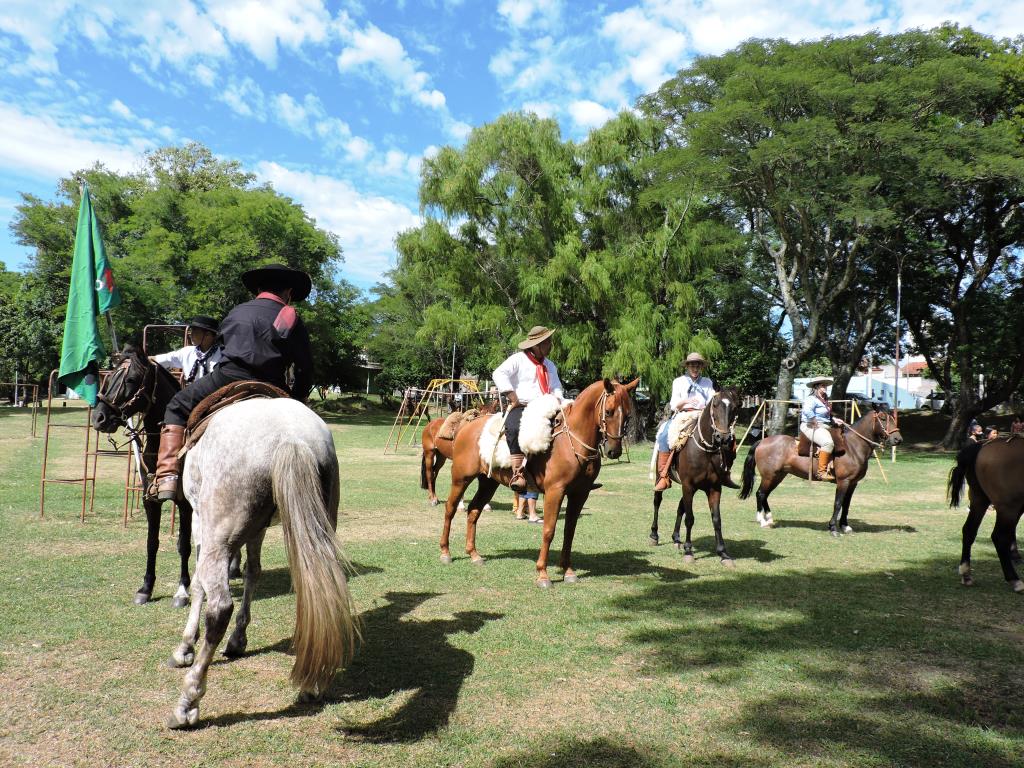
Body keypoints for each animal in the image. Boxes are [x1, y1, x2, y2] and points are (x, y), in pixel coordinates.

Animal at [165, 399, 358, 729]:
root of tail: (292, 437)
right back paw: (312, 683)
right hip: (320, 527)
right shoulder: (257, 529)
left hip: (218, 535)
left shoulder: (200, 520)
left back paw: (188, 702)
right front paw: (238, 639)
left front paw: (185, 647)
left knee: (220, 607)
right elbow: (253, 572)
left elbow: (200, 585)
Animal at [438, 378, 634, 589]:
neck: (571, 442)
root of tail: (465, 427)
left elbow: (569, 531)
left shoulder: (579, 494)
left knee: (474, 510)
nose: (614, 451)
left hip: (488, 482)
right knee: (450, 509)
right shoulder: (555, 492)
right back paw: (445, 552)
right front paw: (543, 575)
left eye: (628, 415)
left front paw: (568, 571)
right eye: (609, 411)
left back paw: (474, 554)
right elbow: (549, 530)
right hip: (461, 478)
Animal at [651, 391, 741, 565]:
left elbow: (716, 519)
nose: (723, 438)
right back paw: (654, 535)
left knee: (681, 507)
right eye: (715, 405)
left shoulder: (714, 488)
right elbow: (690, 519)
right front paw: (688, 551)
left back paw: (676, 538)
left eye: (734, 407)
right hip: (662, 478)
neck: (705, 451)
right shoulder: (688, 486)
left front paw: (723, 553)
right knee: (657, 501)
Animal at [737, 405, 905, 536]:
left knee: (765, 494)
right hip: (769, 476)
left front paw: (845, 526)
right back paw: (762, 521)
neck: (853, 447)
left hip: (778, 476)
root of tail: (762, 441)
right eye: (883, 418)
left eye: (892, 417)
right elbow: (838, 503)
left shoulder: (853, 483)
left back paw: (770, 518)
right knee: (760, 493)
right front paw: (833, 528)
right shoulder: (843, 482)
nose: (898, 439)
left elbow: (846, 504)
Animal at [942, 436, 1024, 593]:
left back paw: (966, 573)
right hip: (1009, 507)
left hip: (979, 499)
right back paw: (1014, 580)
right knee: (1000, 537)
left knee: (969, 530)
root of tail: (982, 445)